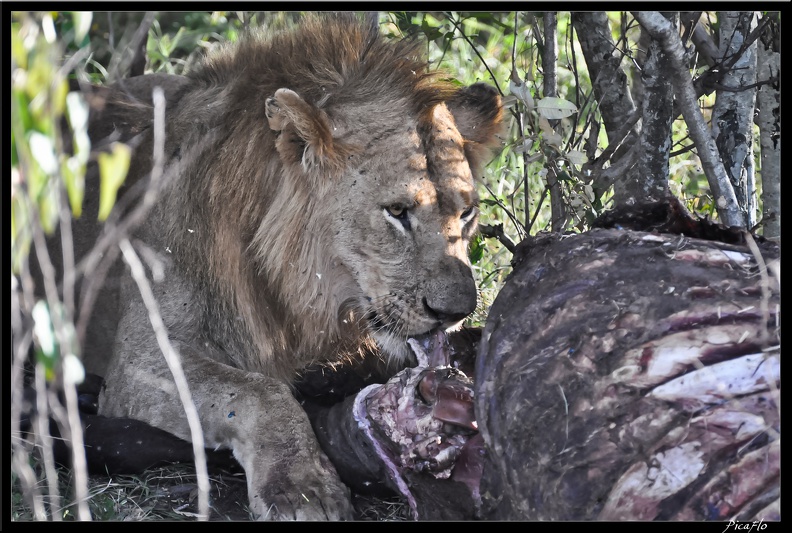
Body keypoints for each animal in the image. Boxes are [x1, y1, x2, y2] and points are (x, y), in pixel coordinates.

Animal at [71, 13, 502, 520]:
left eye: (467, 213)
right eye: (397, 211)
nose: (456, 311)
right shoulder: (140, 358)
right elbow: (258, 392)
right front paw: (301, 486)